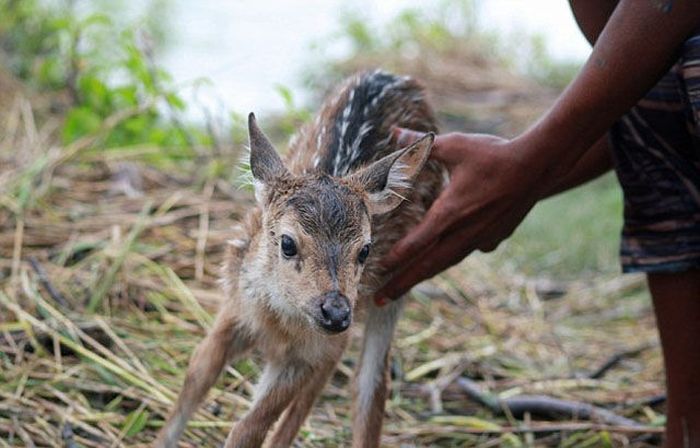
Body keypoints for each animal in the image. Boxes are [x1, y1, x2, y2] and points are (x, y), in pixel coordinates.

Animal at [157, 71, 446, 448]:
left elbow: (248, 429)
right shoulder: (235, 307)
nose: (335, 311)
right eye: (288, 243)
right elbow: (195, 376)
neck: (279, 319)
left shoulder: (306, 352)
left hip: (397, 282)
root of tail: (402, 78)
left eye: (365, 250)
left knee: (368, 383)